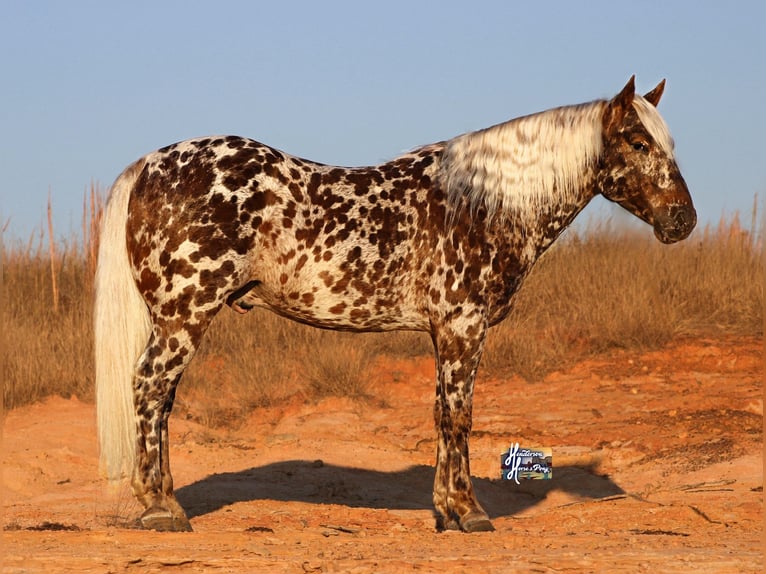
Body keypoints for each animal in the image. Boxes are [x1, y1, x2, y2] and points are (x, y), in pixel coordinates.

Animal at [94, 76, 696, 536]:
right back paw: (161, 508)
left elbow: (440, 415)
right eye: (638, 143)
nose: (683, 221)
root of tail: (150, 164)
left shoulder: (445, 333)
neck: (480, 203)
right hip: (184, 317)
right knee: (149, 389)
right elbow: (459, 416)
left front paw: (445, 512)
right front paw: (469, 512)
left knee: (161, 401)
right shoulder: (463, 327)